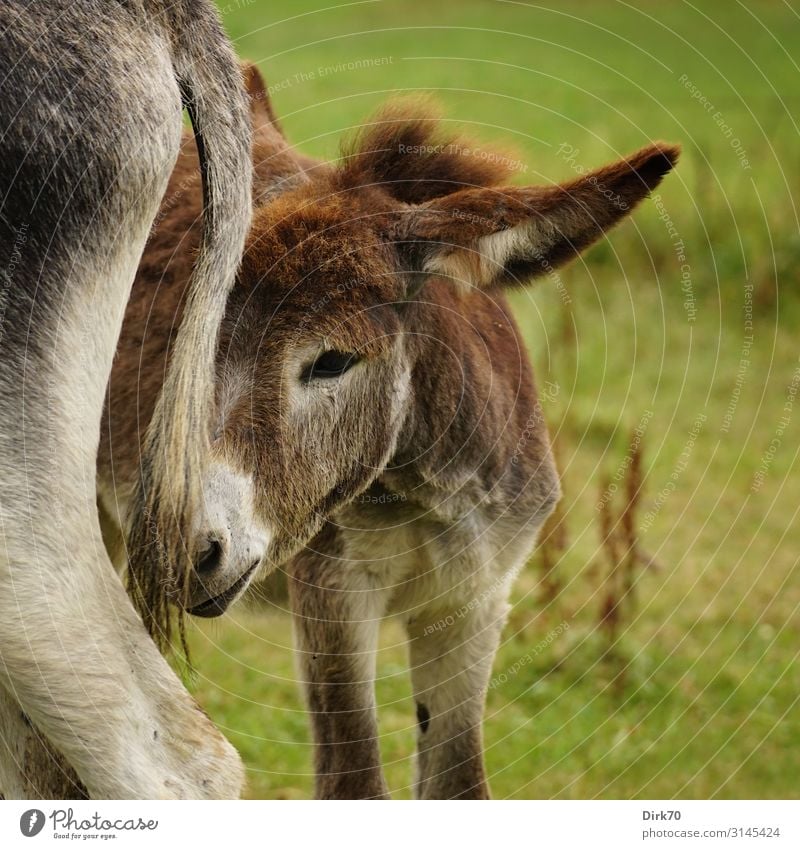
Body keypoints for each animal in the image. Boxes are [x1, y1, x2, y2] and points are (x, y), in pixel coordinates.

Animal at [97, 64, 680, 796]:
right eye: (191, 340)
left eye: (333, 361)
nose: (178, 546)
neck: (424, 492)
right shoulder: (334, 597)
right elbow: (355, 783)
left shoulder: (476, 601)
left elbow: (460, 785)